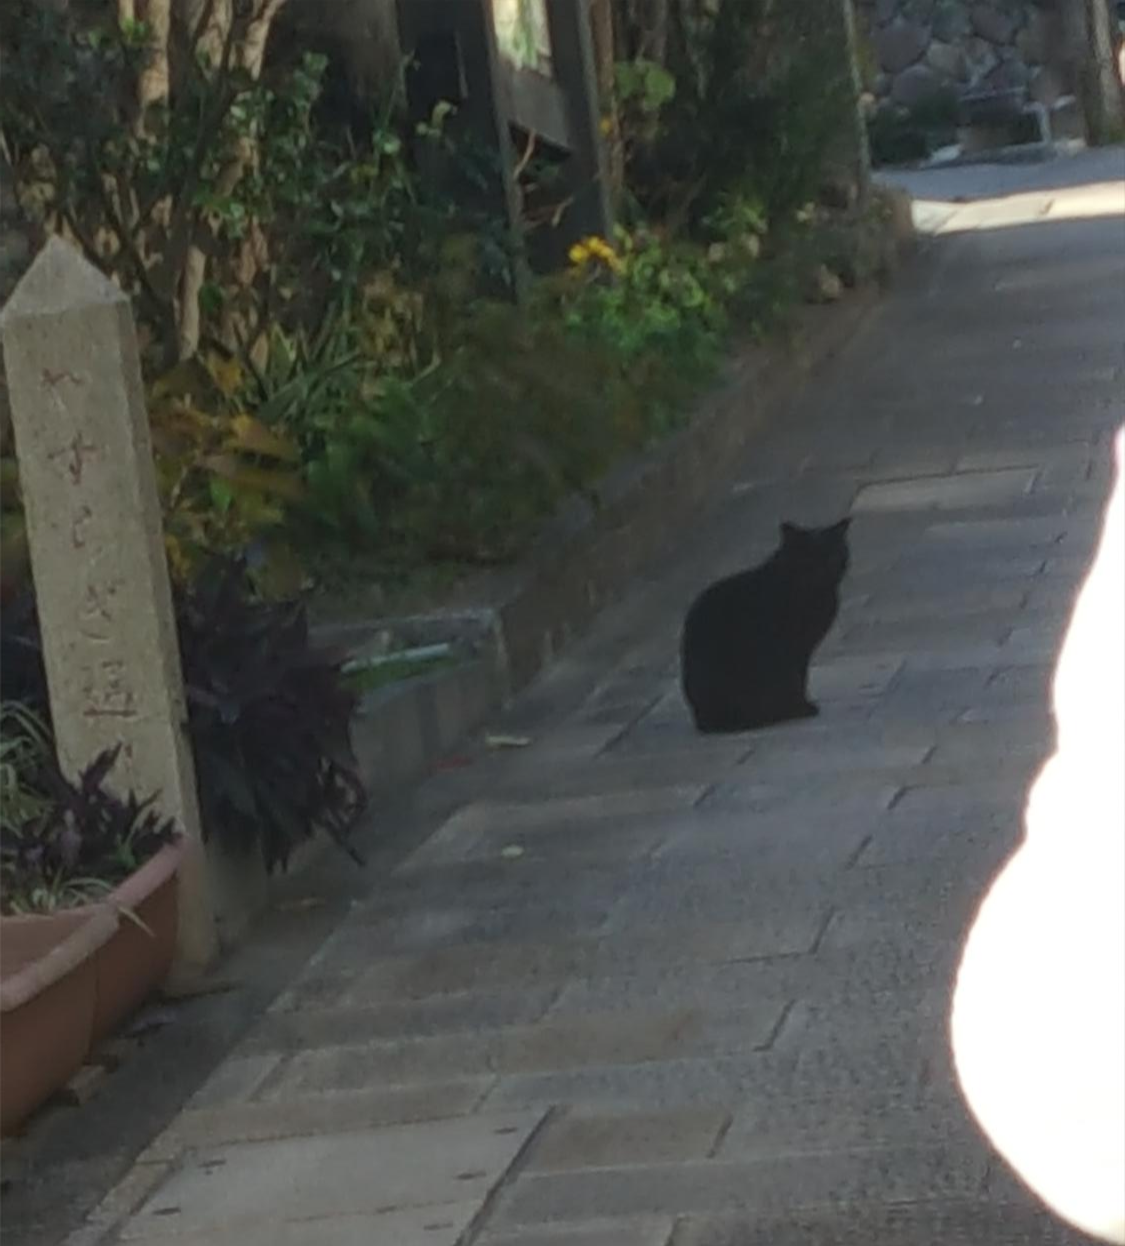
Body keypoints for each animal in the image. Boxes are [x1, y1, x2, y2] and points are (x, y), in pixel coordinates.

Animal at [680, 518, 851, 733]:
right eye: (806, 560)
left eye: (832, 556)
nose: (822, 571)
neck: (814, 594)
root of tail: (704, 719)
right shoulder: (792, 649)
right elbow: (798, 679)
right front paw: (803, 707)